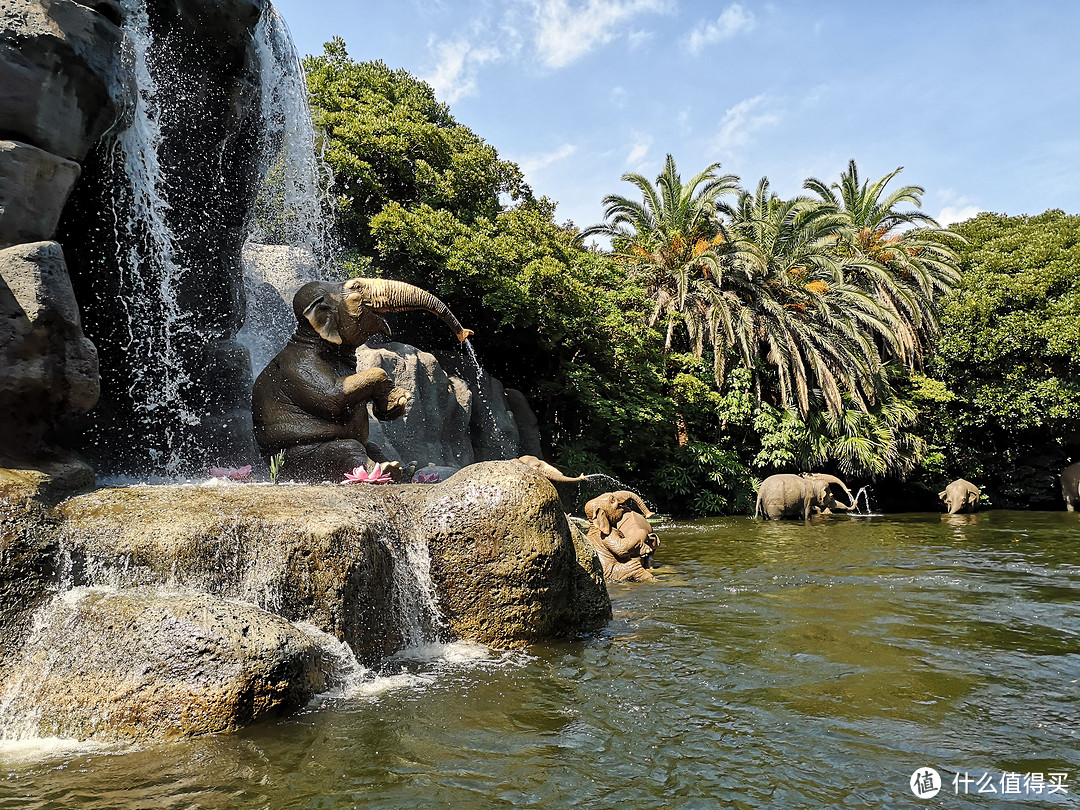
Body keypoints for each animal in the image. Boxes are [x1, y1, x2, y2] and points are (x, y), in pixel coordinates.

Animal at [254, 278, 475, 481]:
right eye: (357, 287)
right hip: (296, 459)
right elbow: (330, 398)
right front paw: (397, 394)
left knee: (373, 446)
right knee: (346, 447)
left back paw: (405, 470)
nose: (466, 334)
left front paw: (396, 403)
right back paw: (387, 470)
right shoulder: (300, 367)